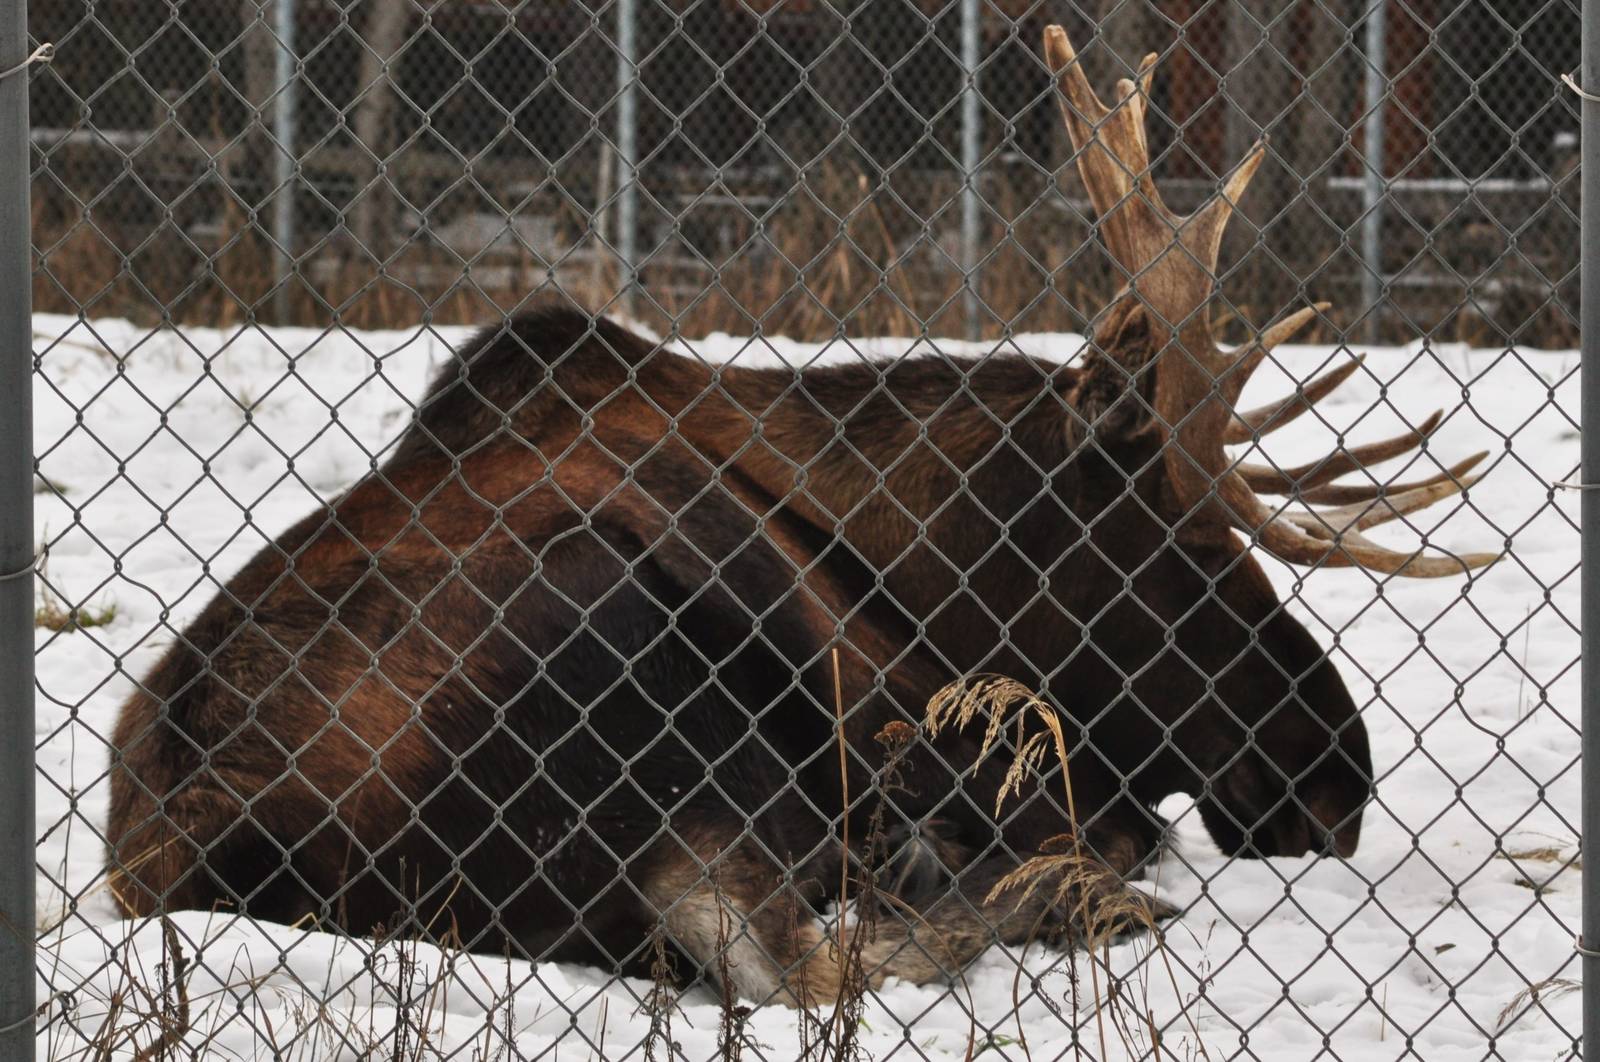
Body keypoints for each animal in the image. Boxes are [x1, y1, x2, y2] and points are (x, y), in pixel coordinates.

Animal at [105, 25, 1497, 1006]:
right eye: (1178, 547)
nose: (1335, 778)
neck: (911, 556)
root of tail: (204, 844)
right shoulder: (925, 716)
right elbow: (1113, 823)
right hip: (656, 671)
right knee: (810, 955)